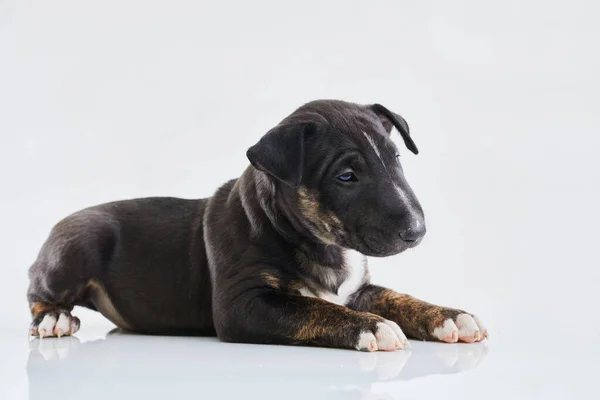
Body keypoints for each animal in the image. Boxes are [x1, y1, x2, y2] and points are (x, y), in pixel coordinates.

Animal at [28, 99, 488, 350]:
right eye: (346, 176)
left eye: (396, 160)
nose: (417, 232)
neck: (316, 240)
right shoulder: (243, 304)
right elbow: (315, 307)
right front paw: (373, 327)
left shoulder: (359, 289)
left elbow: (397, 296)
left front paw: (451, 316)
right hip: (75, 248)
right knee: (36, 291)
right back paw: (55, 320)